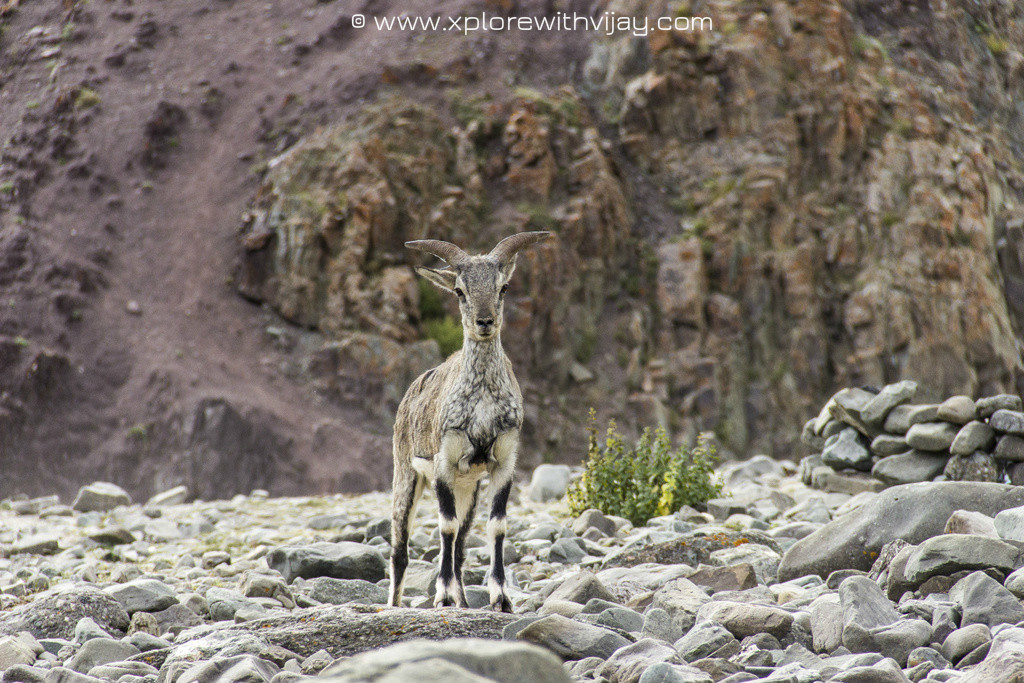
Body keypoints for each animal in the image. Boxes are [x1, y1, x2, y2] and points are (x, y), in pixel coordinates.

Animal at [389, 232, 552, 610]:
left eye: (503, 287)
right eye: (459, 290)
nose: (485, 322)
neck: (481, 405)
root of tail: (409, 395)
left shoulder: (503, 462)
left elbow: (497, 526)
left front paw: (501, 597)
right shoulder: (444, 463)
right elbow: (445, 527)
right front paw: (444, 596)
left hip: (469, 488)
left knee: (462, 545)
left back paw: (464, 601)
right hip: (406, 474)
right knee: (401, 548)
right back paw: (396, 604)